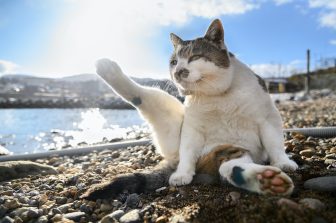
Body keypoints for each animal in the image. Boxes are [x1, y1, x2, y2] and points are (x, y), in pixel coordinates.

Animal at [80, 19, 296, 199]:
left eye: (195, 57)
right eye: (174, 62)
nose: (178, 71)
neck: (219, 95)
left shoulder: (268, 118)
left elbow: (275, 144)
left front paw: (283, 162)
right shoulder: (192, 130)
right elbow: (187, 151)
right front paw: (182, 174)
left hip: (228, 149)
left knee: (230, 168)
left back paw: (267, 180)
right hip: (175, 124)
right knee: (144, 97)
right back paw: (107, 69)